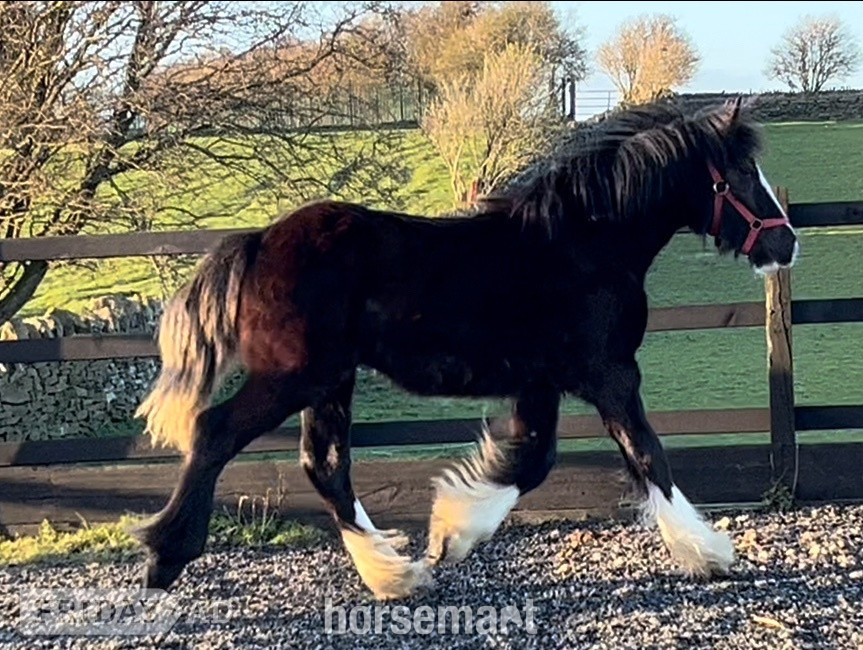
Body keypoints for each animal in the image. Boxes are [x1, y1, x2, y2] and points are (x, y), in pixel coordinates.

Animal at [132, 96, 799, 601]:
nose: (786, 244)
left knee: (326, 465)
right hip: (293, 377)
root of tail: (258, 241)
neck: (584, 243)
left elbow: (533, 461)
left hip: (330, 381)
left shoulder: (541, 383)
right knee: (216, 432)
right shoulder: (610, 374)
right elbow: (647, 455)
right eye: (741, 175)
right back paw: (166, 556)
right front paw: (708, 552)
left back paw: (394, 574)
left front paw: (451, 534)